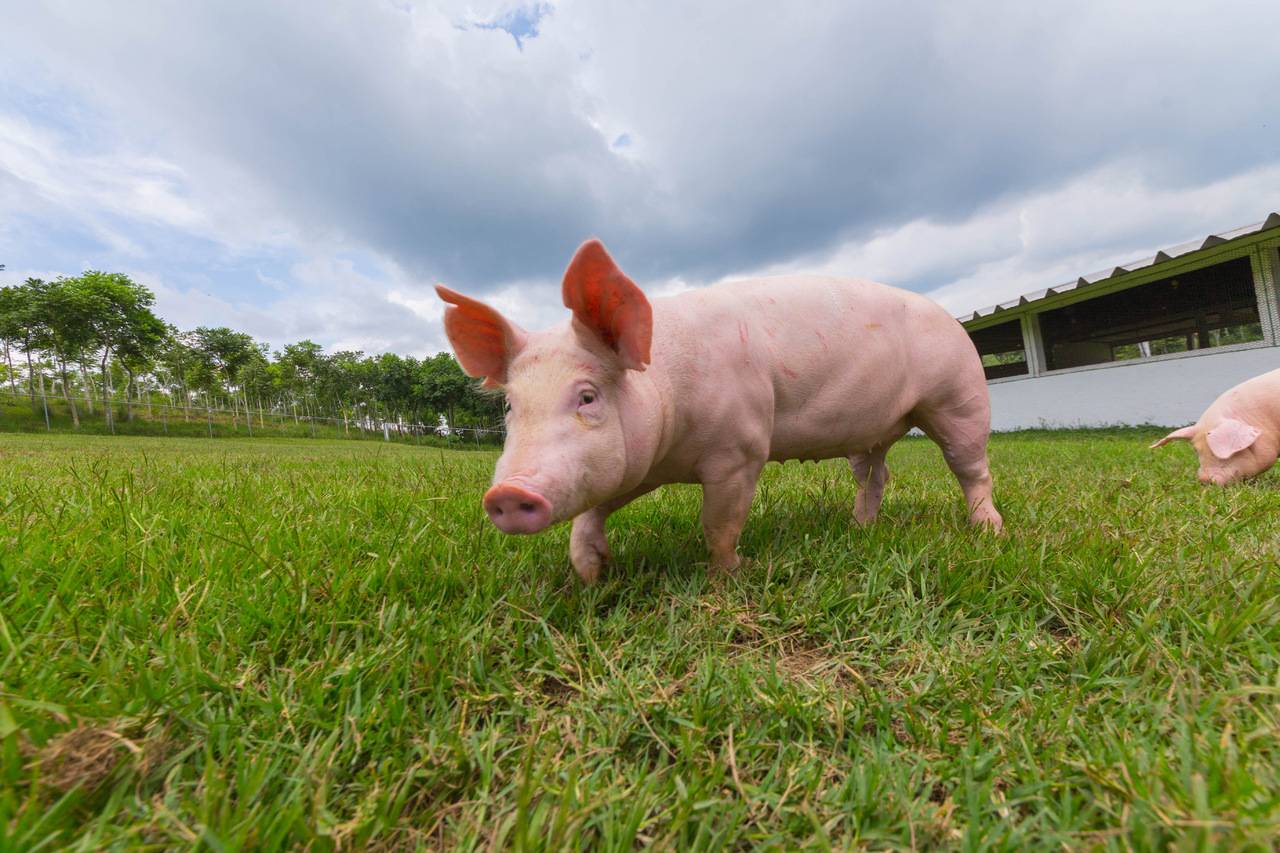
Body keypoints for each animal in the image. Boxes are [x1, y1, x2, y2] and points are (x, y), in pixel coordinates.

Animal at [435, 239, 1003, 578]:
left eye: (587, 397)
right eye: (511, 405)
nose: (507, 494)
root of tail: (951, 318)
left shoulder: (741, 450)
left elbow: (720, 524)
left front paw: (729, 576)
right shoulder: (641, 463)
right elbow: (595, 508)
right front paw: (593, 573)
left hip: (959, 396)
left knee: (972, 467)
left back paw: (988, 531)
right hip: (874, 429)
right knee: (874, 473)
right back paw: (860, 527)